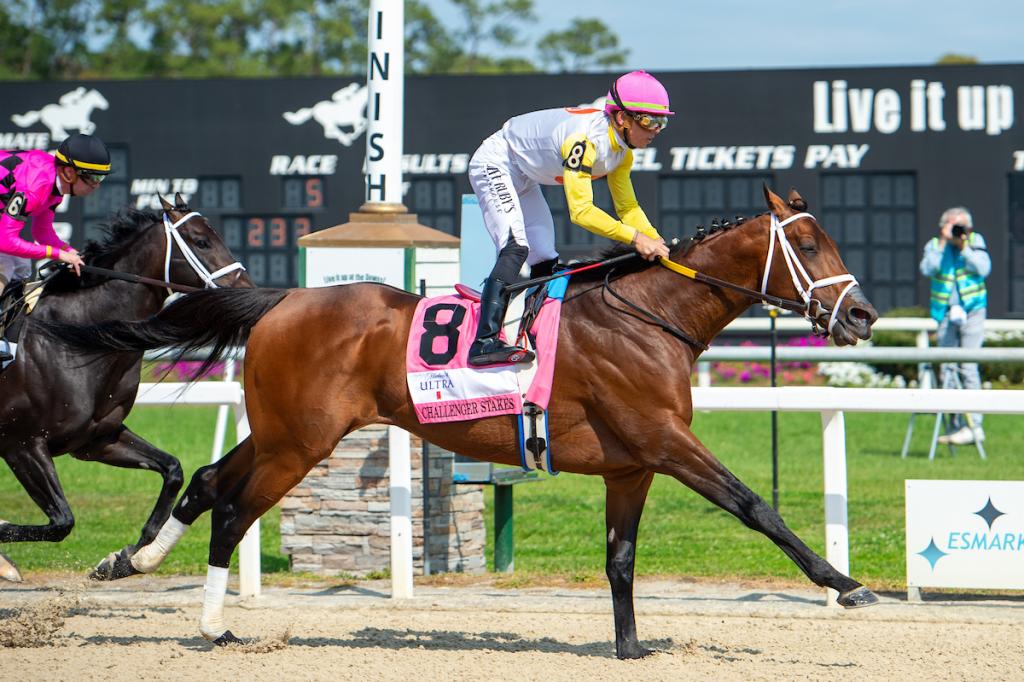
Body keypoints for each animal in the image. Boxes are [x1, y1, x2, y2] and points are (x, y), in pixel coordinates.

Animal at [0, 194, 250, 583]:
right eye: (201, 240)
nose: (246, 289)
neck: (74, 338)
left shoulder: (96, 439)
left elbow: (173, 470)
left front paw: (123, 559)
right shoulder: (22, 444)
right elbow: (62, 521)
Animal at [41, 187, 879, 658]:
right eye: (808, 243)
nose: (863, 315)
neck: (649, 315)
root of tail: (281, 300)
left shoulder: (632, 463)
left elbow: (620, 558)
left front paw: (631, 648)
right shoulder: (667, 442)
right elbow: (756, 506)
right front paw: (845, 584)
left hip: (284, 432)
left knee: (211, 480)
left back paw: (131, 562)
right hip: (299, 443)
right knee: (233, 508)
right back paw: (212, 623)